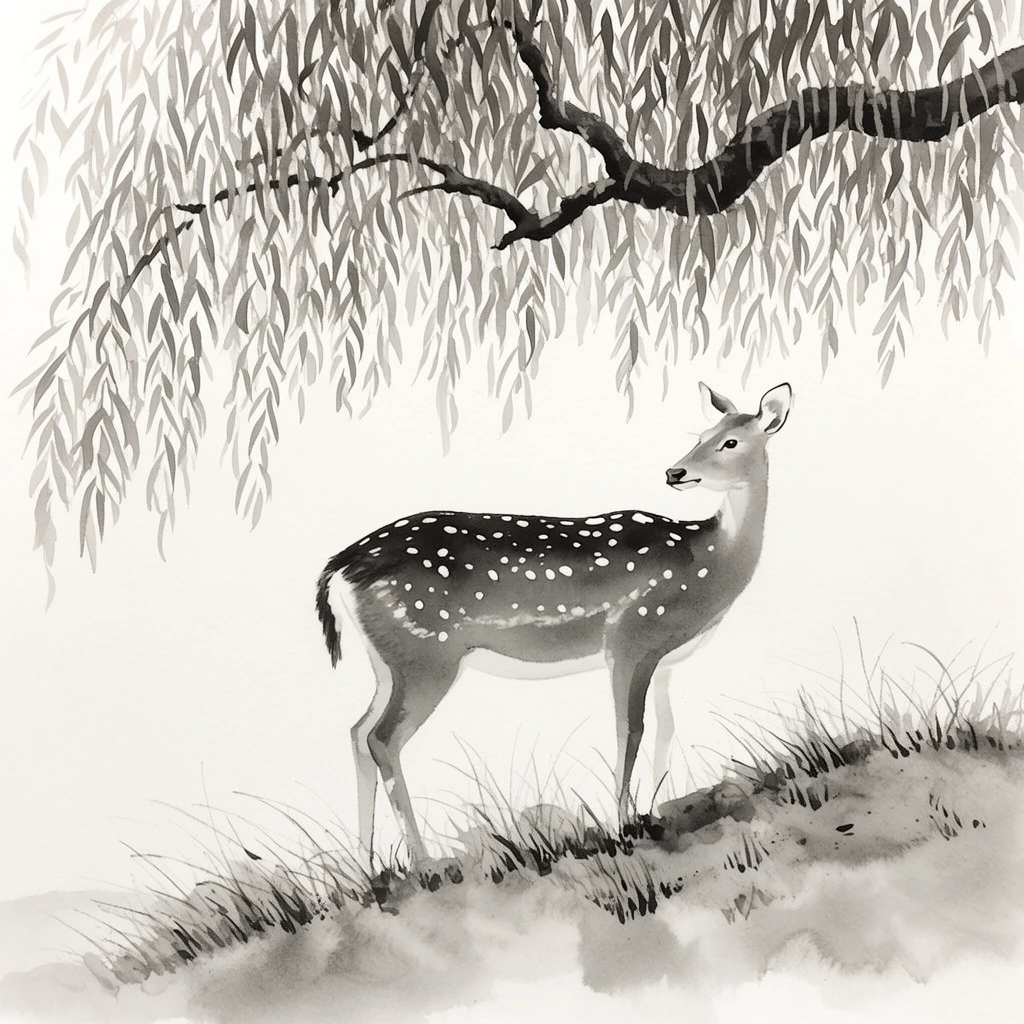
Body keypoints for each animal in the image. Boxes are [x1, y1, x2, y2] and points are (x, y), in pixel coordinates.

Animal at [316, 381, 793, 861]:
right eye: (702, 435)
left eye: (730, 441)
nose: (675, 472)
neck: (706, 562)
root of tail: (340, 569)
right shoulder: (631, 636)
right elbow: (629, 729)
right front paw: (621, 827)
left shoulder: (666, 659)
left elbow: (665, 728)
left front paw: (653, 813)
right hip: (425, 653)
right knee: (382, 738)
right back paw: (422, 859)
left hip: (388, 661)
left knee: (357, 731)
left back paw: (366, 860)